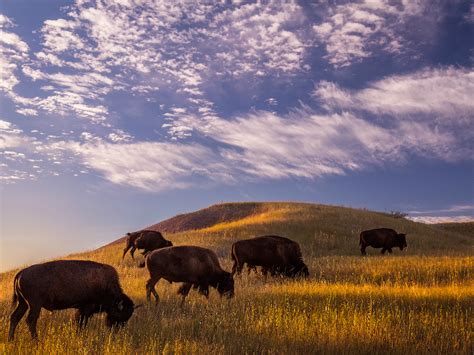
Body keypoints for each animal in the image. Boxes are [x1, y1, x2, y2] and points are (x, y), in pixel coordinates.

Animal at [8, 260, 136, 340]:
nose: (115, 331)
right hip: (34, 305)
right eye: (119, 315)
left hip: (23, 303)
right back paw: (36, 340)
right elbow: (81, 323)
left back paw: (11, 339)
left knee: (15, 317)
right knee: (30, 320)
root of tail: (21, 272)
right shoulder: (85, 309)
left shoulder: (82, 310)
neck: (106, 285)